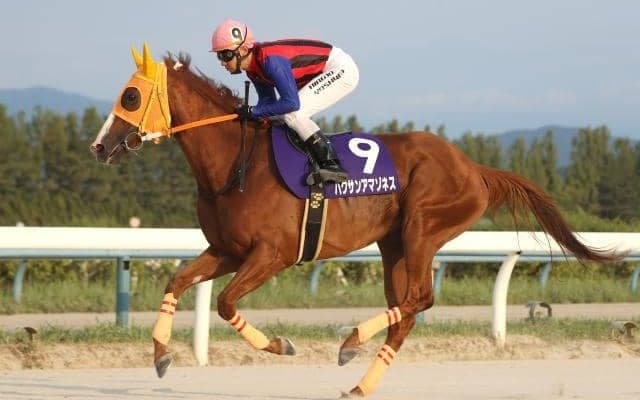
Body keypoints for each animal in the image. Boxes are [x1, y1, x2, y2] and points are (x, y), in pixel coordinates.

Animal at [90, 44, 621, 397]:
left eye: (130, 97)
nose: (99, 145)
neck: (234, 162)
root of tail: (474, 168)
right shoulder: (227, 250)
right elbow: (178, 283)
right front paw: (161, 356)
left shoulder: (273, 253)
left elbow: (223, 303)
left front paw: (281, 345)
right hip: (393, 244)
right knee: (406, 310)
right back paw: (361, 381)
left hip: (423, 226)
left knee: (419, 298)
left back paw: (350, 341)